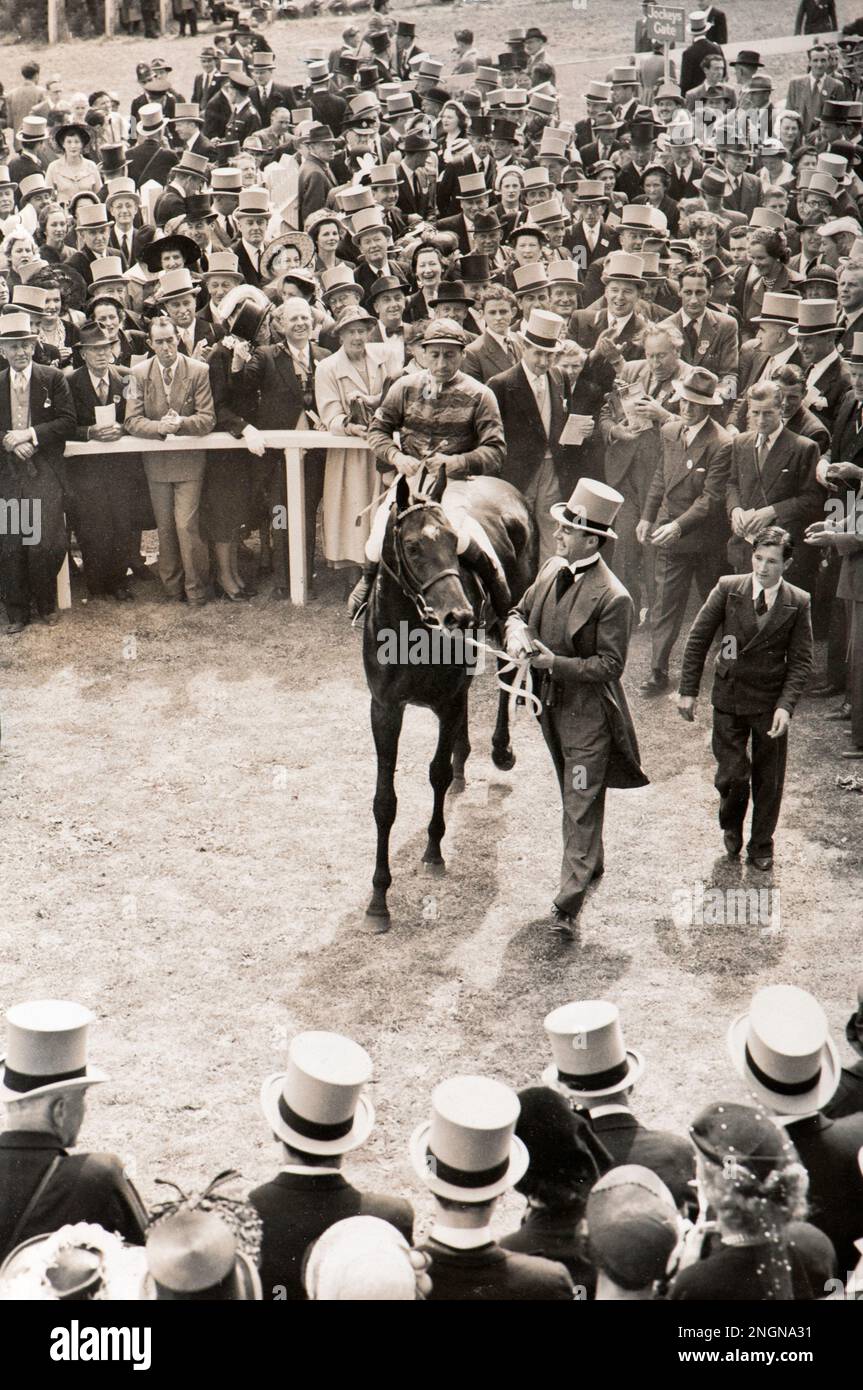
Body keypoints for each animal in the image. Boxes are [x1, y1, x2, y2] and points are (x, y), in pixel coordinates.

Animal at [361, 467, 536, 934]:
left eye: (453, 542)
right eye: (412, 546)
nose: (459, 616)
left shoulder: (448, 700)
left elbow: (436, 774)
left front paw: (433, 853)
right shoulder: (385, 708)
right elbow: (385, 801)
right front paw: (378, 900)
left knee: (508, 670)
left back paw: (499, 748)